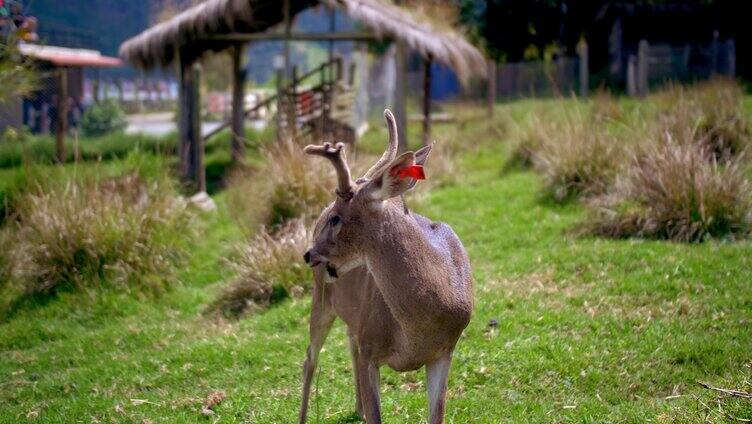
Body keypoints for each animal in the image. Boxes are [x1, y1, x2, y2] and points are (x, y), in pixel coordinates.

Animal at [296, 109, 472, 424]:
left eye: (337, 218)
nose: (308, 253)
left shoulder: (445, 351)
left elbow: (436, 415)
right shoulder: (371, 349)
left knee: (347, 340)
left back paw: (358, 409)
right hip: (320, 297)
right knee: (310, 358)